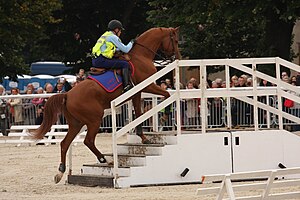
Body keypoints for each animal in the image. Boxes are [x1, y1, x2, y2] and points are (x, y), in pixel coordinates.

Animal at [31, 27, 180, 184]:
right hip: (94, 119)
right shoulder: (147, 86)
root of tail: (67, 95)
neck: (141, 56)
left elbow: (139, 113)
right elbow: (165, 96)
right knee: (88, 141)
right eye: (175, 40)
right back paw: (105, 160)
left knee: (65, 143)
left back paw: (60, 171)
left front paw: (144, 136)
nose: (178, 56)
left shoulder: (137, 93)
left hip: (76, 123)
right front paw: (162, 120)